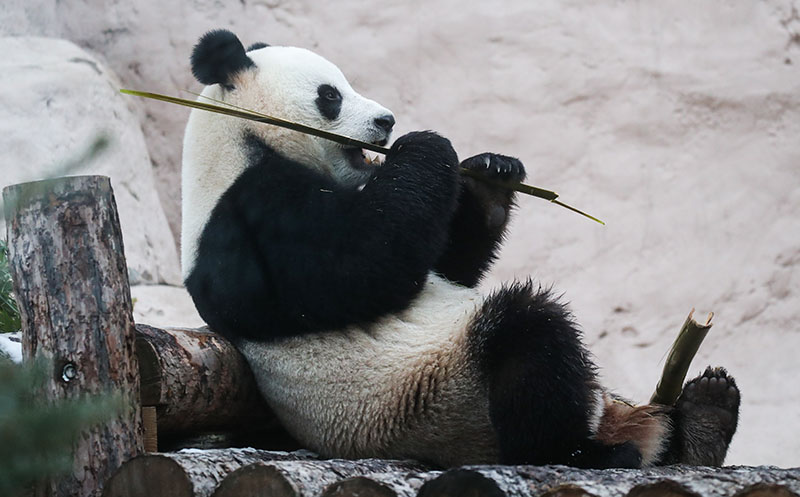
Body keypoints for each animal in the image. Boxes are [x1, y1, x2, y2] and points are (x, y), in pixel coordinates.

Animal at [183, 29, 744, 466]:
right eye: (331, 95)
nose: (386, 121)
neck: (243, 139)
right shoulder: (248, 213)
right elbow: (361, 265)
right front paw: (427, 142)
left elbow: (447, 261)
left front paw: (491, 174)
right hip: (445, 401)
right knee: (528, 339)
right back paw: (587, 451)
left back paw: (705, 416)